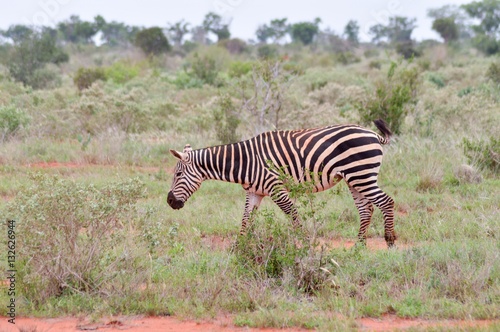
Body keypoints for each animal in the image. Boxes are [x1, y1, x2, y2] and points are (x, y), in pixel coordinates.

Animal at [169, 119, 398, 246]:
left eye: (178, 175)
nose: (170, 201)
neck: (245, 162)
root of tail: (373, 134)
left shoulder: (276, 188)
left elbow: (293, 216)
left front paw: (306, 246)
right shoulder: (255, 192)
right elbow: (245, 220)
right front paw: (238, 248)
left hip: (362, 175)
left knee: (386, 202)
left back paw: (389, 240)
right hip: (354, 179)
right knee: (366, 209)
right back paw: (358, 247)